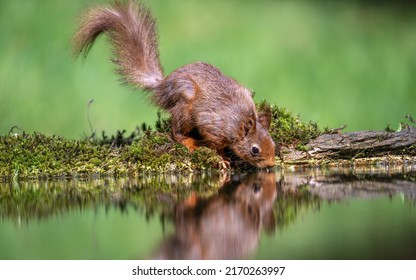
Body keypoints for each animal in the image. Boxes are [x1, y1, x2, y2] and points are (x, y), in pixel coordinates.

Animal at [74, 0, 276, 167]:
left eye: (273, 143)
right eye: (255, 150)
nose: (271, 165)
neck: (237, 122)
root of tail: (163, 85)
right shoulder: (213, 128)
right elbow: (214, 144)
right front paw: (221, 158)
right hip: (184, 106)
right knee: (176, 131)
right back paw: (189, 142)